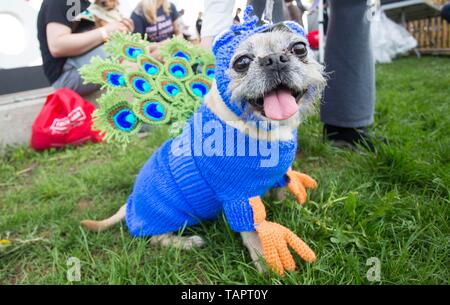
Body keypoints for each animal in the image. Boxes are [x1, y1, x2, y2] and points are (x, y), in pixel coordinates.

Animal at [81, 10, 326, 274]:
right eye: (241, 62)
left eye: (300, 48)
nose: (275, 59)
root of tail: (130, 204)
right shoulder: (237, 196)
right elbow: (254, 231)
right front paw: (265, 265)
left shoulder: (274, 178)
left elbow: (280, 189)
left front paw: (288, 205)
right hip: (170, 216)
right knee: (155, 238)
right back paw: (186, 242)